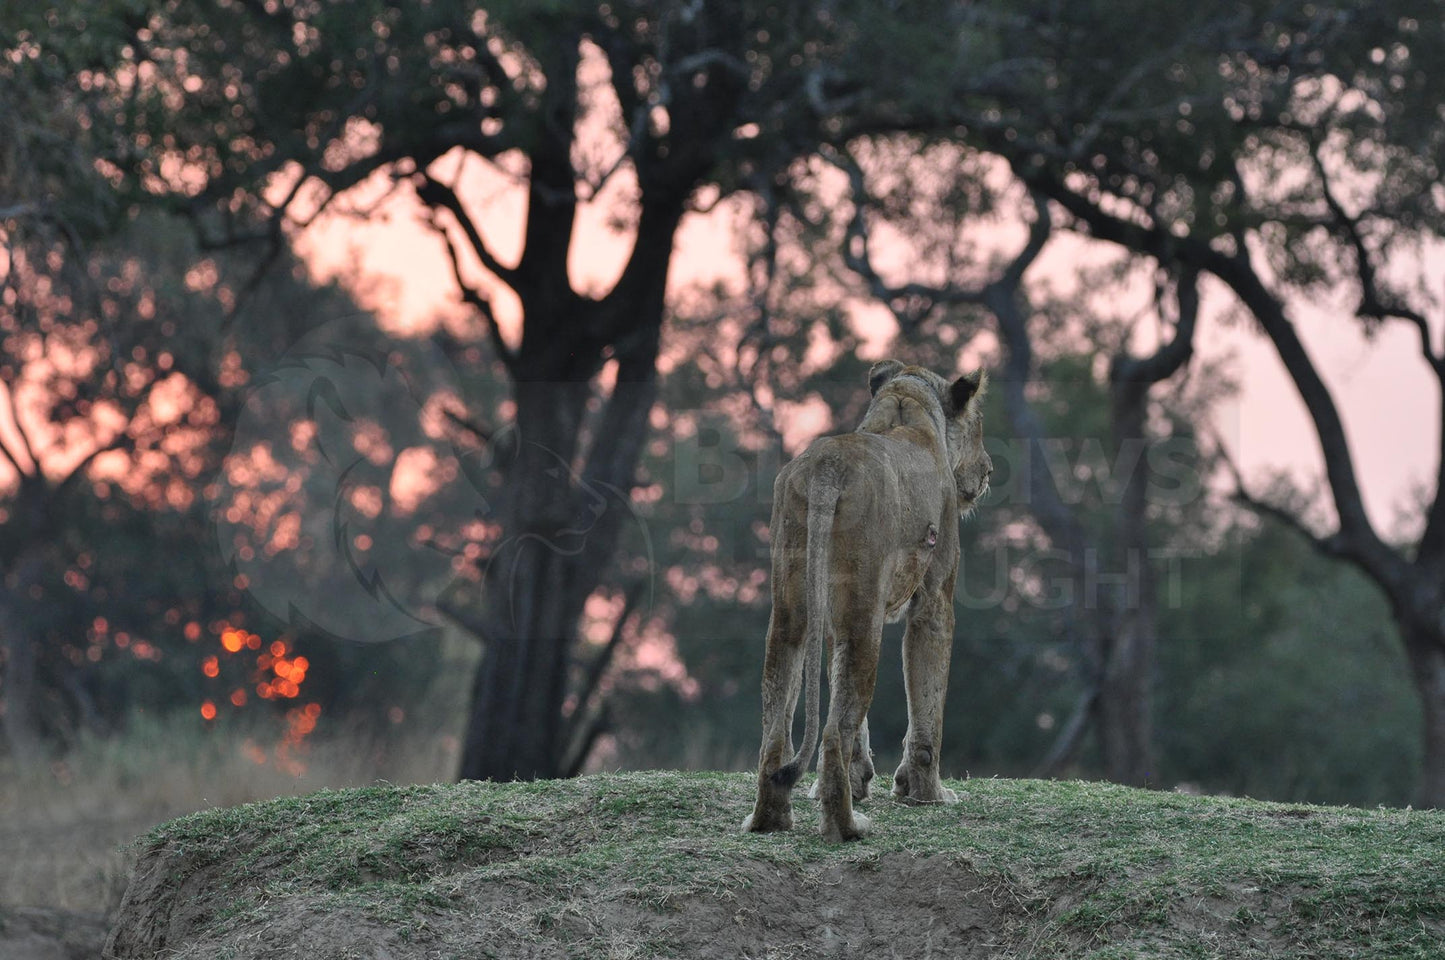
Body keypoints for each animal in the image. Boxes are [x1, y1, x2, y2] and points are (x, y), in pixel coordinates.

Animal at [745, 360, 994, 838]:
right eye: (979, 425)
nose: (989, 471)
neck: (906, 406)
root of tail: (826, 468)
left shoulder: (833, 615)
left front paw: (861, 781)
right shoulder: (934, 600)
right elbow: (927, 703)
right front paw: (926, 794)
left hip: (793, 610)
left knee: (776, 726)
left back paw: (770, 818)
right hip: (864, 616)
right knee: (831, 735)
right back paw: (847, 827)